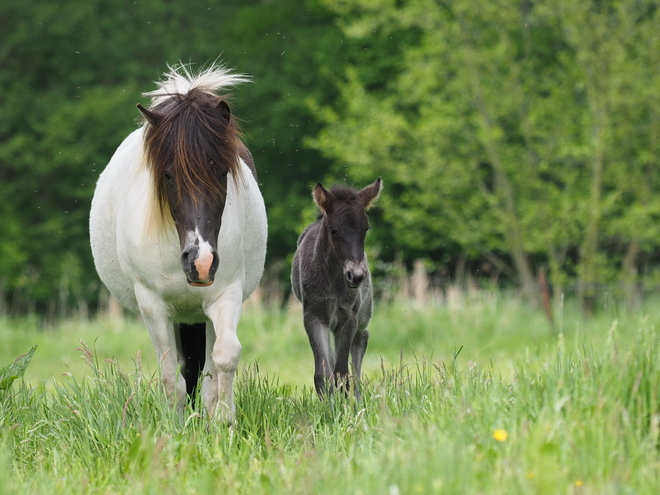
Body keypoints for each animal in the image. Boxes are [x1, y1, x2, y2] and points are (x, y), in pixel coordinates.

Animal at [89, 63, 266, 422]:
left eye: (220, 170)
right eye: (168, 176)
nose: (201, 262)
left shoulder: (226, 295)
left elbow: (225, 356)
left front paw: (223, 421)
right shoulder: (153, 305)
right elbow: (172, 376)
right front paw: (175, 426)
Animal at [292, 178, 384, 400]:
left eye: (366, 229)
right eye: (334, 231)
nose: (356, 275)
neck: (333, 278)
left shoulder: (348, 319)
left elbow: (342, 373)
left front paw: (346, 407)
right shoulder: (314, 317)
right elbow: (323, 373)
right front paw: (328, 407)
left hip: (362, 318)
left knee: (360, 348)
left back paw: (358, 400)